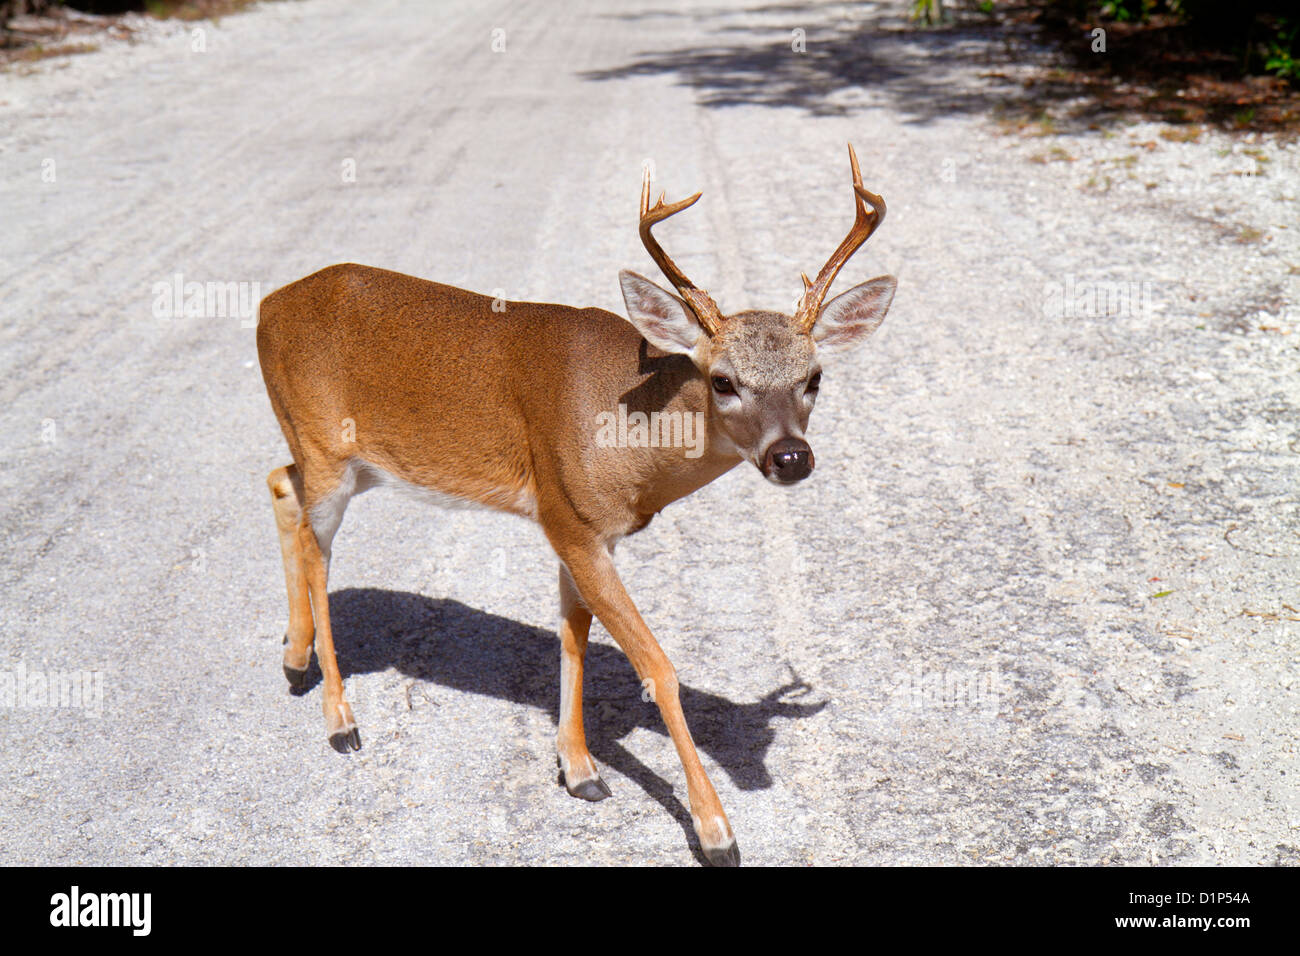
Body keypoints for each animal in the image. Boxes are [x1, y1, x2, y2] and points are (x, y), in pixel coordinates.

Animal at [258, 143, 899, 868]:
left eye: (814, 377)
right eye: (722, 381)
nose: (791, 456)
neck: (629, 435)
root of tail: (266, 305)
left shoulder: (583, 529)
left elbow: (574, 638)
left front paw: (580, 770)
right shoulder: (568, 517)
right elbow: (656, 667)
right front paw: (716, 831)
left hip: (355, 460)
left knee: (279, 483)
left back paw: (294, 661)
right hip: (326, 446)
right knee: (316, 546)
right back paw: (340, 720)